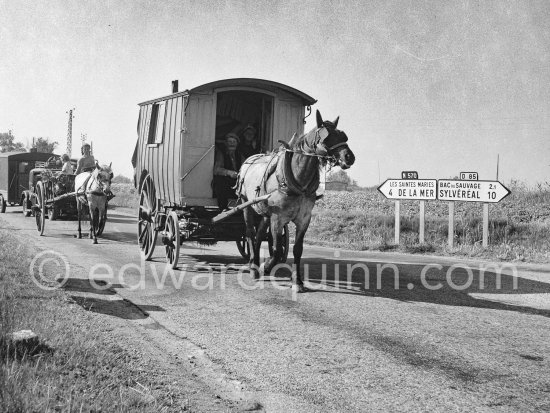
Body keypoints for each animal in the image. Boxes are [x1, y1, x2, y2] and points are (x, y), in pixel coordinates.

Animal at [237, 108, 358, 290]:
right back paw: (253, 266)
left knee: (259, 235)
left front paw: (297, 281)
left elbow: (297, 249)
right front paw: (266, 267)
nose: (349, 157)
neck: (297, 179)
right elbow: (277, 249)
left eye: (344, 136)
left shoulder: (304, 218)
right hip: (247, 205)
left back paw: (256, 263)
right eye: (327, 137)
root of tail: (249, 160)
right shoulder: (278, 218)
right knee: (250, 234)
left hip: (264, 212)